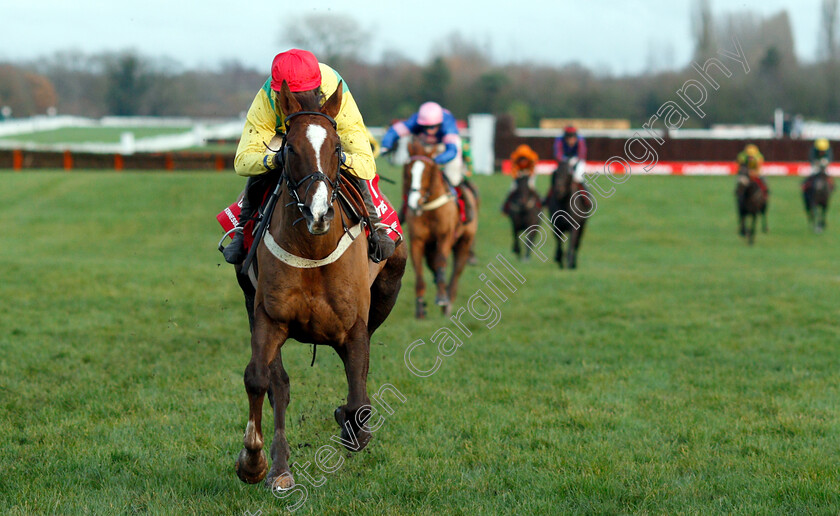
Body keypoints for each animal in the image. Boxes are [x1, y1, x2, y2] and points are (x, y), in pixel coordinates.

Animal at [233, 80, 406, 492]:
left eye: (337, 148)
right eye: (289, 148)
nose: (319, 213)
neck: (312, 249)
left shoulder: (354, 326)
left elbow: (358, 399)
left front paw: (350, 423)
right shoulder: (268, 316)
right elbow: (260, 379)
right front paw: (253, 462)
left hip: (387, 290)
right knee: (279, 385)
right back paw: (280, 469)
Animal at [402, 140, 476, 318]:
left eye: (427, 172)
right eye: (408, 171)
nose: (414, 202)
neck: (429, 208)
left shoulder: (445, 236)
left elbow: (441, 261)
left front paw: (442, 298)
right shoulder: (417, 240)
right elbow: (419, 272)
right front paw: (420, 307)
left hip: (464, 242)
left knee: (456, 270)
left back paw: (448, 300)